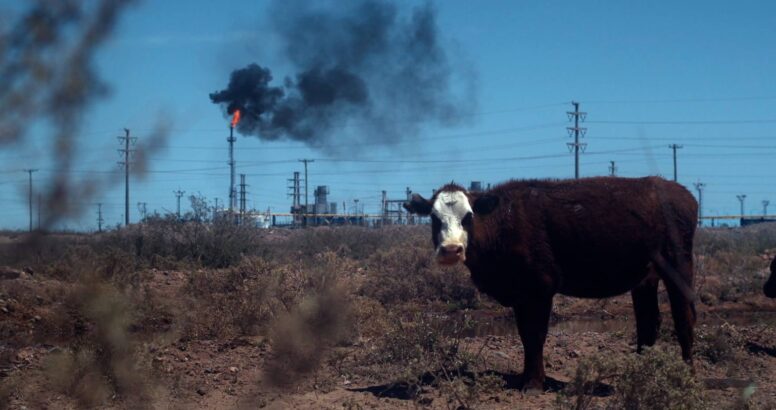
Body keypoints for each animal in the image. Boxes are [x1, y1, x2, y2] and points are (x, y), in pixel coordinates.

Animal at [404, 176, 698, 391]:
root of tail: (679, 190)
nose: (451, 249)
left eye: (468, 216)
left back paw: (687, 375)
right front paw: (526, 377)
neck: (503, 222)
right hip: (645, 279)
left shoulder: (540, 289)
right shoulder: (521, 293)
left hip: (678, 266)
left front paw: (533, 383)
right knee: (648, 323)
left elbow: (535, 335)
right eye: (434, 218)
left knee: (683, 317)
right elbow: (524, 335)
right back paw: (640, 372)